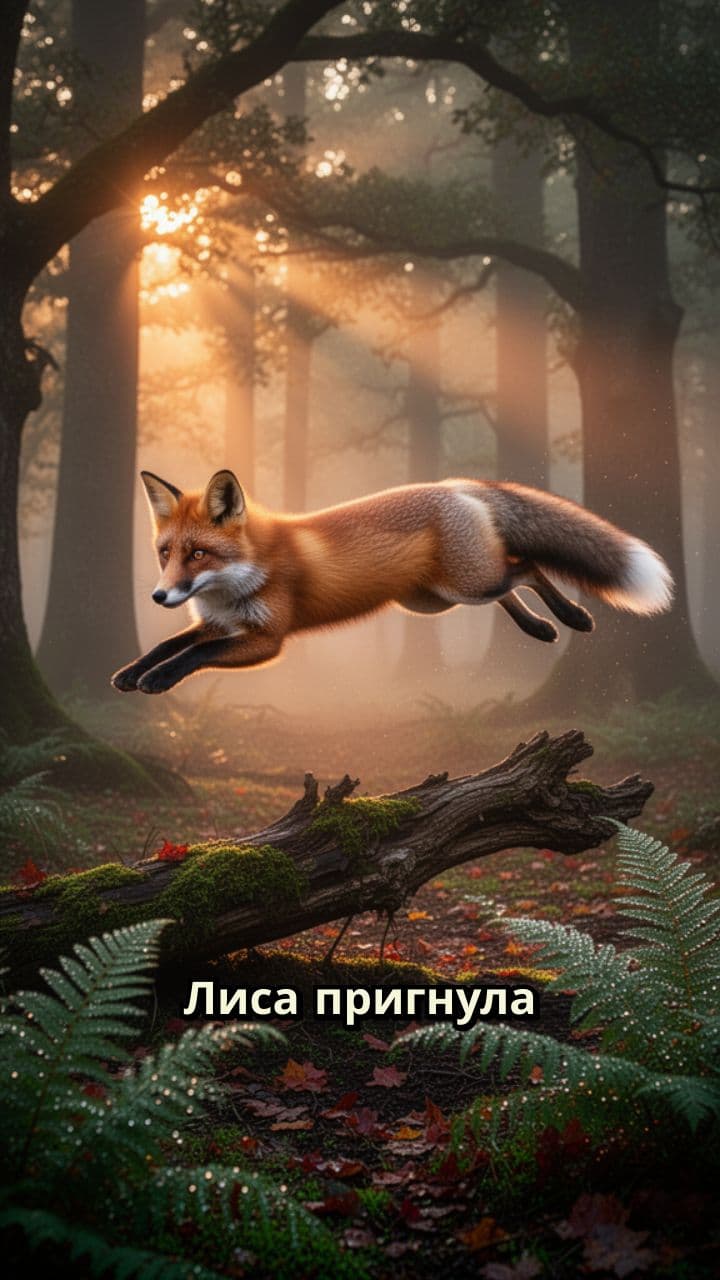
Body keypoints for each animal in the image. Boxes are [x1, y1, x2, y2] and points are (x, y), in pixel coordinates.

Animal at [111, 469, 673, 695]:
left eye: (199, 554)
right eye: (165, 554)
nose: (160, 595)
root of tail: (453, 485)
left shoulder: (266, 640)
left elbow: (192, 655)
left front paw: (157, 680)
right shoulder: (219, 624)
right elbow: (167, 644)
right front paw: (132, 672)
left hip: (465, 585)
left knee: (527, 567)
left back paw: (571, 616)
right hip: (432, 601)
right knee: (511, 586)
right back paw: (541, 629)